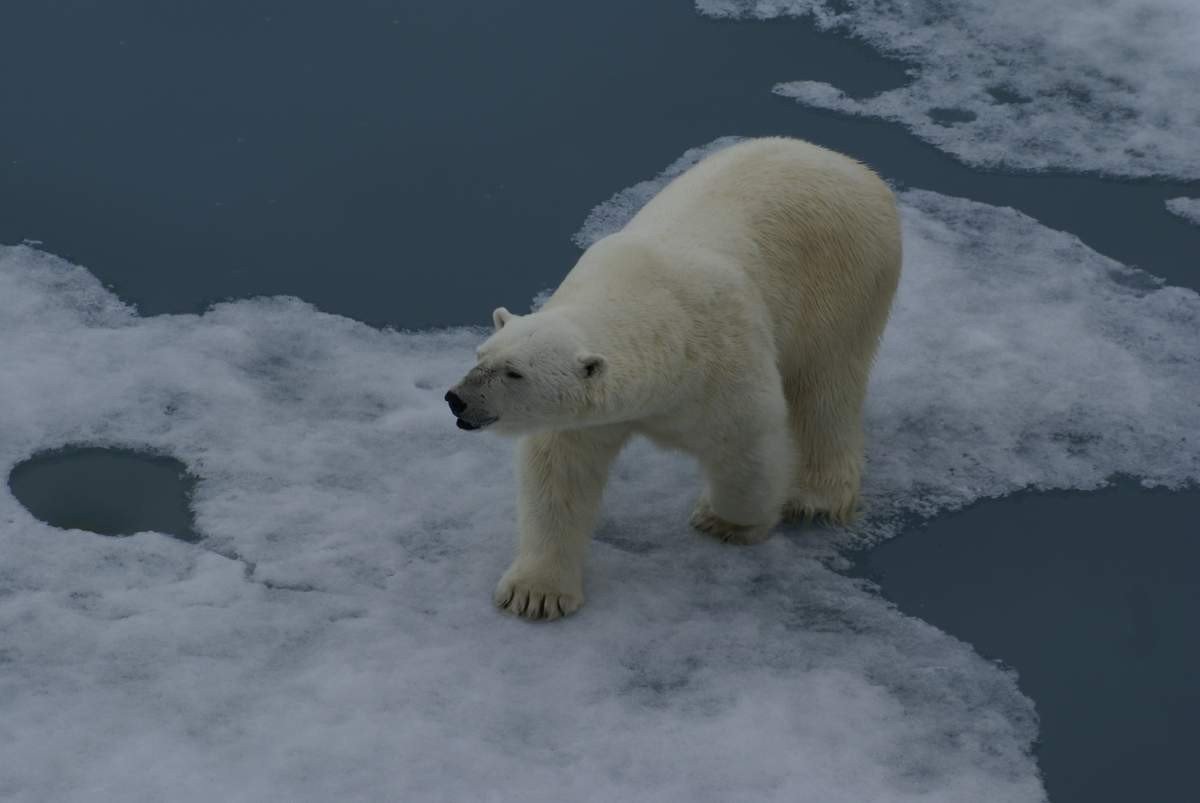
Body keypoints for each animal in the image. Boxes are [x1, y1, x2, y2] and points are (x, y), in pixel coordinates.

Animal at [445, 137, 901, 620]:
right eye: (481, 355)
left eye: (514, 372)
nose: (457, 398)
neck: (650, 303)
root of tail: (849, 165)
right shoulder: (589, 416)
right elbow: (559, 472)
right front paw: (536, 592)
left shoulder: (724, 361)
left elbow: (748, 445)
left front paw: (725, 521)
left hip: (845, 277)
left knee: (826, 385)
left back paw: (813, 496)